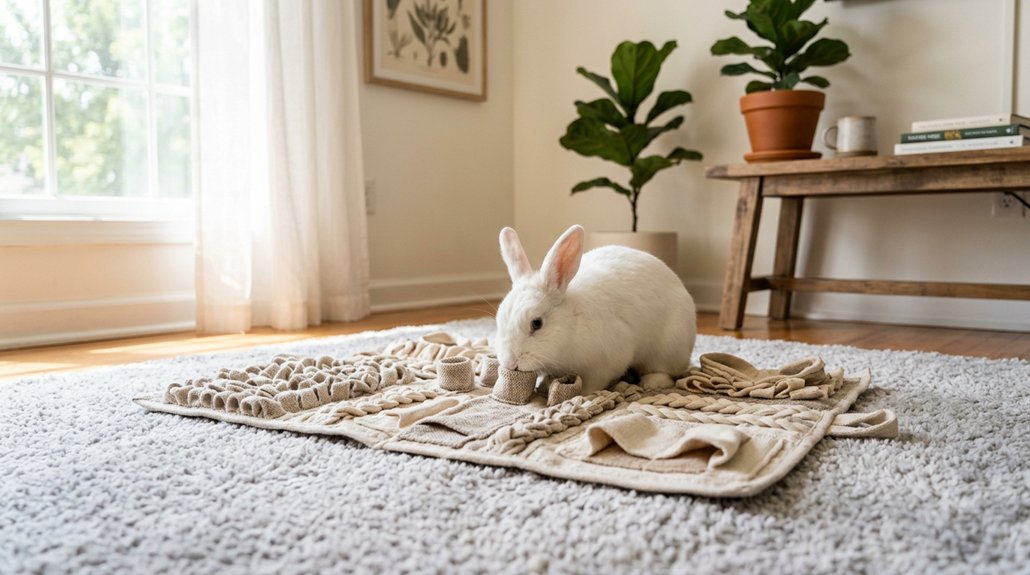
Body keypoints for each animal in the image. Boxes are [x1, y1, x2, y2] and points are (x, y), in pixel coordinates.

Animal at [493, 224, 696, 395]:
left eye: (536, 323)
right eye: (499, 320)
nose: (510, 362)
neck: (572, 323)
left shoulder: (604, 364)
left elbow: (593, 382)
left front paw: (583, 394)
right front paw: (543, 387)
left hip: (668, 347)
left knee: (665, 371)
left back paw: (651, 383)